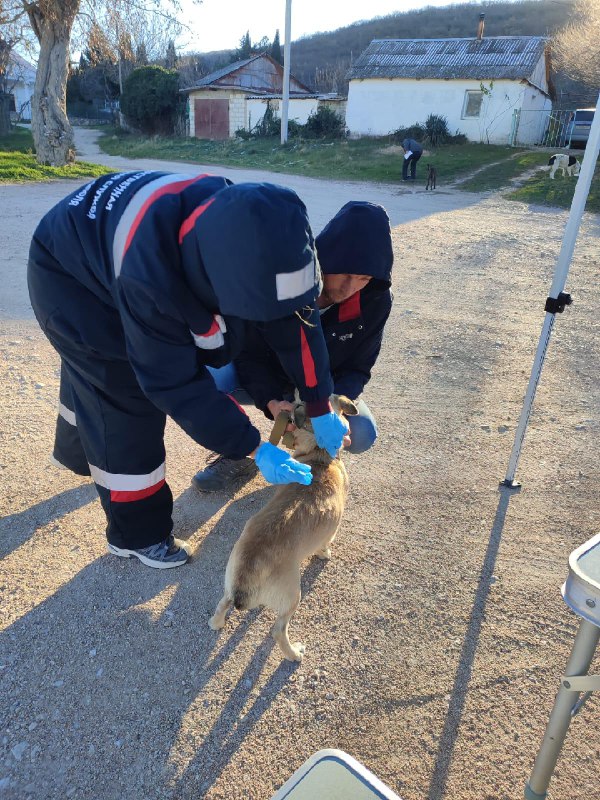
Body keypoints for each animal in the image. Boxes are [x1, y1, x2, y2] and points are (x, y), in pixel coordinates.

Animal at [207, 396, 356, 664]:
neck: (319, 457)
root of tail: (246, 575)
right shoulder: (331, 531)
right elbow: (325, 545)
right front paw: (325, 554)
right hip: (292, 597)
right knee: (278, 630)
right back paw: (294, 653)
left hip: (228, 584)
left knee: (222, 603)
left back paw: (216, 623)